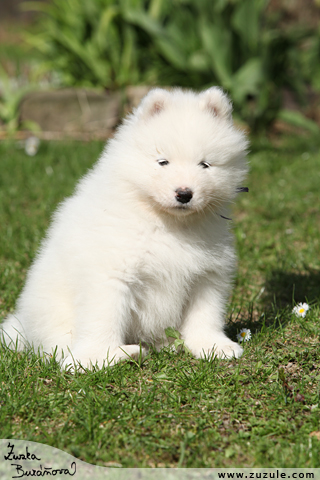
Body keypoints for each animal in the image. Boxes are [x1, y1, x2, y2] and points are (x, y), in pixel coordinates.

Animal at [1, 88, 249, 370]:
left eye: (205, 165)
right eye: (163, 162)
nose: (184, 194)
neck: (165, 222)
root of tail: (23, 326)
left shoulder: (206, 274)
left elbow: (205, 314)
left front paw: (213, 346)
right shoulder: (110, 273)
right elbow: (104, 318)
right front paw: (98, 358)